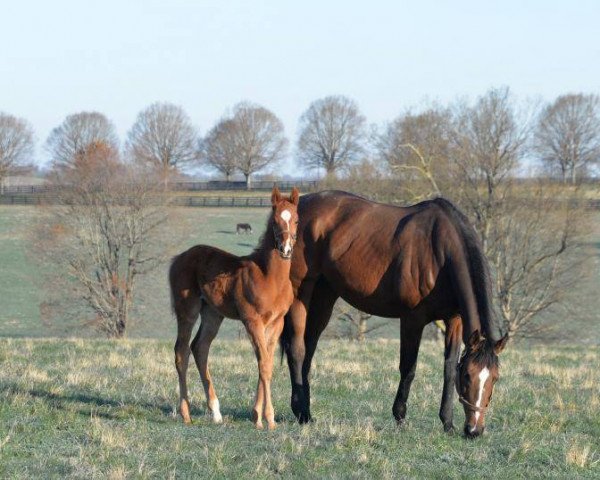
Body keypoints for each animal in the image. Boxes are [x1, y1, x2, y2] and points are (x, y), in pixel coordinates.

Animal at [169, 186, 300, 430]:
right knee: (181, 351)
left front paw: (257, 415)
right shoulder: (252, 321)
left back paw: (215, 412)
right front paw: (268, 418)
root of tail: (179, 257)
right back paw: (186, 413)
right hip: (187, 310)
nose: (285, 249)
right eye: (275, 220)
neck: (270, 277)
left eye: (296, 219)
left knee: (200, 348)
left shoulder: (276, 323)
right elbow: (264, 365)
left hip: (212, 314)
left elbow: (266, 363)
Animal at [280, 189, 506, 436]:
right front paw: (400, 416)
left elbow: (448, 367)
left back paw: (307, 412)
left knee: (309, 348)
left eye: (495, 378)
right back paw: (300, 411)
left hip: (325, 294)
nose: (474, 430)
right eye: (468, 375)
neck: (441, 252)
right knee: (297, 349)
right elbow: (408, 368)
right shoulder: (412, 319)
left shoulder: (454, 320)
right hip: (299, 293)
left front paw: (447, 422)